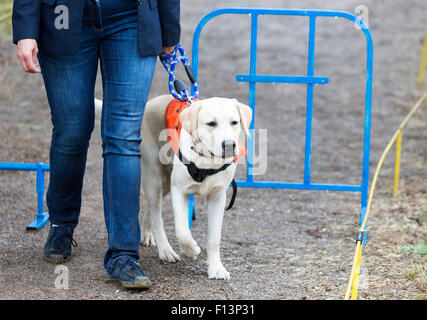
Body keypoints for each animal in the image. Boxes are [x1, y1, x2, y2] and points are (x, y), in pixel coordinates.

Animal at [95, 95, 252, 280]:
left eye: (234, 122)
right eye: (211, 123)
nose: (229, 145)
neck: (205, 160)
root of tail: (149, 104)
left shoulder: (218, 196)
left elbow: (214, 237)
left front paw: (216, 268)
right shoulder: (179, 191)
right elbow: (182, 231)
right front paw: (191, 250)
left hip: (164, 184)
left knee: (149, 205)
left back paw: (147, 234)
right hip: (154, 175)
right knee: (157, 216)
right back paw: (165, 250)